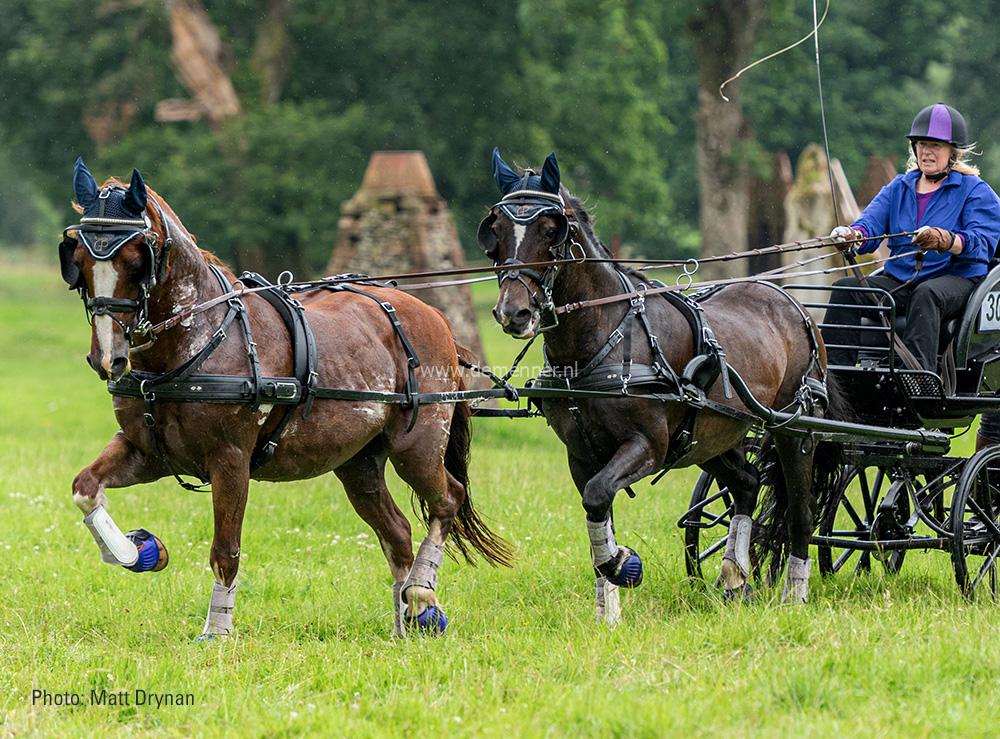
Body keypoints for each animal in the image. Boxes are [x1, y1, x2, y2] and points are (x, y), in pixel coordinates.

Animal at [62, 159, 512, 640]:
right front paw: (138, 551)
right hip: (358, 464)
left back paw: (423, 593)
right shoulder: (147, 452)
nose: (107, 357)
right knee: (397, 532)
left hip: (419, 445)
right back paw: (403, 624)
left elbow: (225, 550)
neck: (194, 342)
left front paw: (217, 633)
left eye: (135, 260)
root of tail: (437, 319)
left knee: (448, 500)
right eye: (80, 261)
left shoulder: (231, 459)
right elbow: (85, 488)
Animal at [480, 150, 824, 620]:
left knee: (801, 514)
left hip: (794, 430)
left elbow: (598, 495)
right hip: (711, 435)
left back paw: (794, 596)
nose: (512, 313)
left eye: (551, 230)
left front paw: (622, 564)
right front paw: (608, 610)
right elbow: (597, 509)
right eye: (495, 230)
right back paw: (735, 577)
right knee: (748, 483)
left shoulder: (648, 444)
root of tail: (794, 305)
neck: (601, 338)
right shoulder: (580, 454)